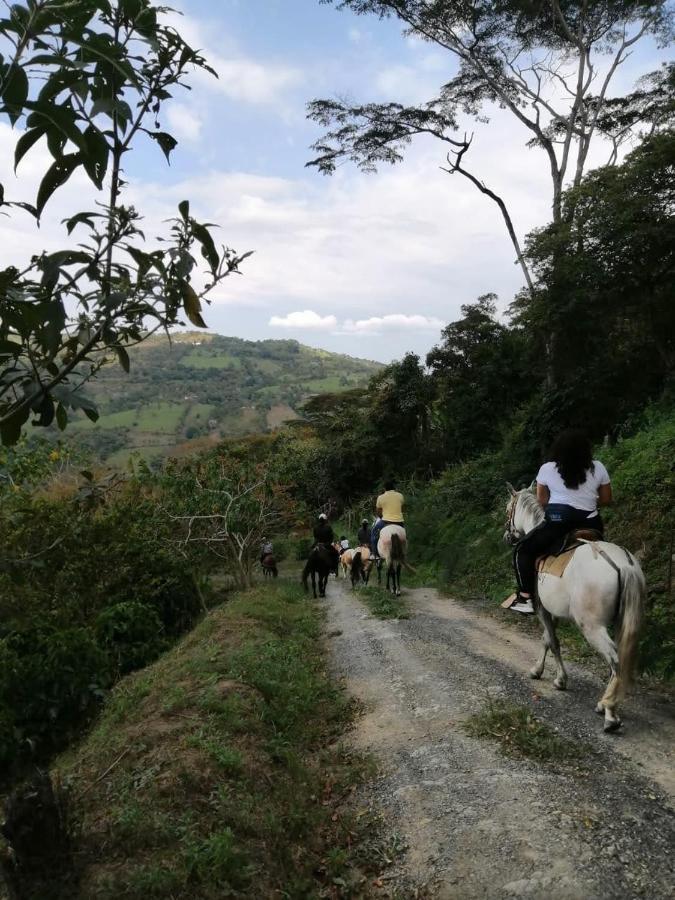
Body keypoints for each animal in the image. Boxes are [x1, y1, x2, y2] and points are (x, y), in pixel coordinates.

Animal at [504, 486, 648, 732]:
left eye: (508, 510)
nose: (508, 536)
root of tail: (623, 565)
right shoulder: (553, 612)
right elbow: (546, 640)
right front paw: (538, 670)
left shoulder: (542, 609)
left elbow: (552, 642)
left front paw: (560, 680)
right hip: (622, 621)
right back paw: (605, 702)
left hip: (591, 627)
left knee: (615, 659)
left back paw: (610, 712)